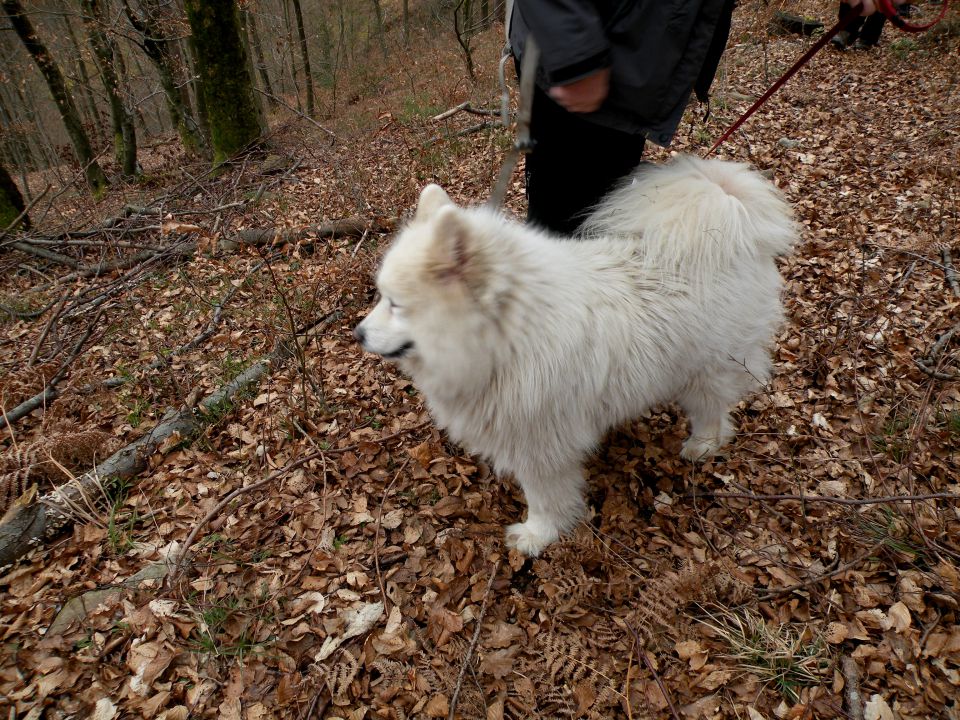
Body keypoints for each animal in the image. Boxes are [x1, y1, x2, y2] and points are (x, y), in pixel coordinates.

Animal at [352, 155, 796, 556]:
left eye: (395, 304)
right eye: (380, 296)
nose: (358, 334)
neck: (510, 335)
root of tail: (730, 213)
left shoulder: (540, 444)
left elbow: (545, 498)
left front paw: (537, 536)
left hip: (707, 369)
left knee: (713, 411)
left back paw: (702, 445)